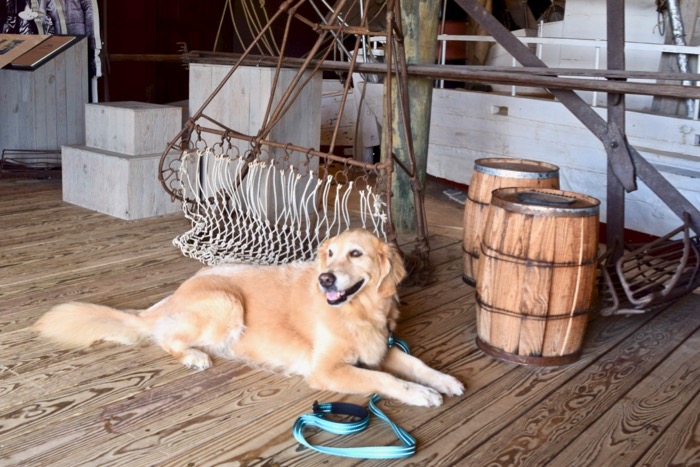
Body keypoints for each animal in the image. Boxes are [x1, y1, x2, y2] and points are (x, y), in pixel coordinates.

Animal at [32, 229, 462, 408]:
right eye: (328, 254)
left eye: (355, 254)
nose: (325, 278)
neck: (358, 311)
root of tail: (173, 295)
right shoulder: (327, 369)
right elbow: (386, 379)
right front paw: (420, 394)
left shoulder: (380, 347)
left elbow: (414, 363)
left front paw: (442, 380)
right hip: (227, 304)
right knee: (167, 339)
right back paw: (195, 356)